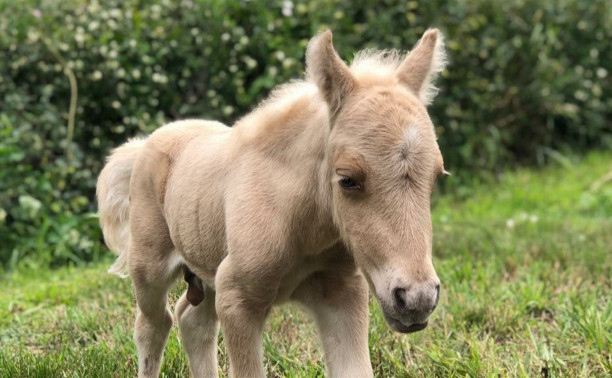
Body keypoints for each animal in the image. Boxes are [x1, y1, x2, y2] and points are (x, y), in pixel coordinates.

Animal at [98, 28, 448, 376]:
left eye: (436, 176)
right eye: (347, 179)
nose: (416, 300)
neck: (299, 223)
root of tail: (145, 144)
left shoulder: (341, 291)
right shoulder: (236, 296)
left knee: (192, 319)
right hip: (149, 266)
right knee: (154, 325)